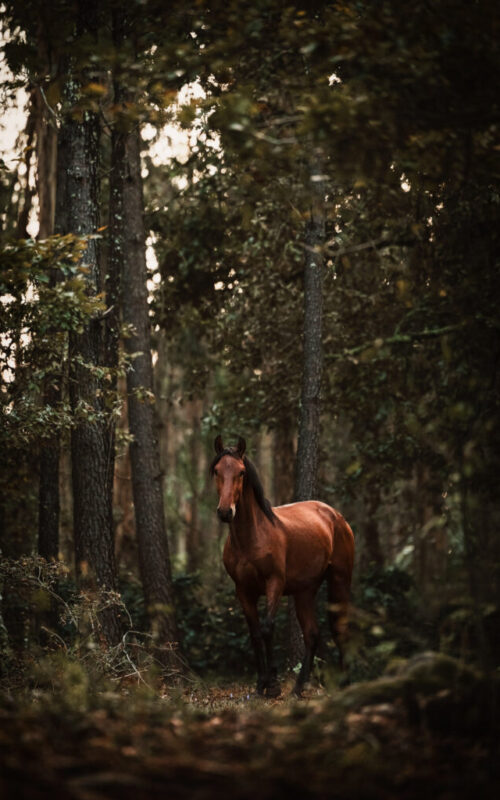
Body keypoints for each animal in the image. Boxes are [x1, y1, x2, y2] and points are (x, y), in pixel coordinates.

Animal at [211, 434, 356, 696]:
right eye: (217, 470)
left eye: (241, 472)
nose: (226, 512)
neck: (252, 537)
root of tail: (335, 515)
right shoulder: (243, 590)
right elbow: (255, 633)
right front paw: (261, 683)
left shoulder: (274, 583)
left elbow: (268, 629)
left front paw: (273, 685)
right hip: (305, 591)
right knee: (312, 634)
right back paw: (299, 687)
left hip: (340, 580)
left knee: (340, 627)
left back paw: (345, 682)